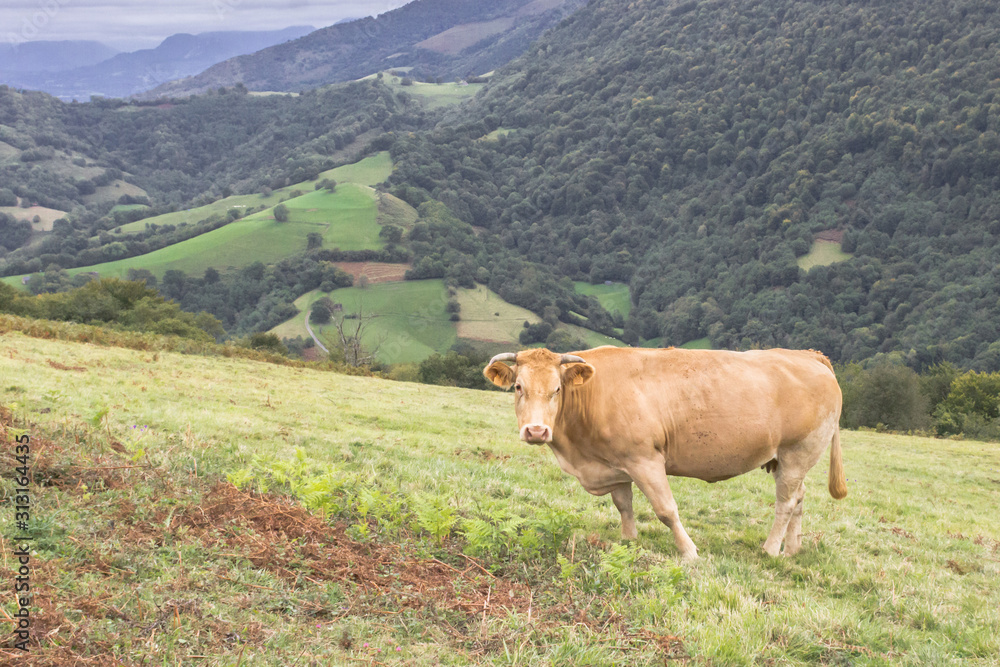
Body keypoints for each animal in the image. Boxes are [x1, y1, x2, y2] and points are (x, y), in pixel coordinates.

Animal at [483, 346, 847, 560]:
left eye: (557, 389)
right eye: (518, 387)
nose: (536, 431)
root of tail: (808, 355)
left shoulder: (644, 459)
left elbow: (666, 510)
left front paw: (688, 551)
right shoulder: (614, 463)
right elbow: (624, 505)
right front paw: (629, 540)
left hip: (798, 451)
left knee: (786, 502)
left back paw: (770, 549)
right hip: (787, 460)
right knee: (799, 497)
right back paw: (792, 549)